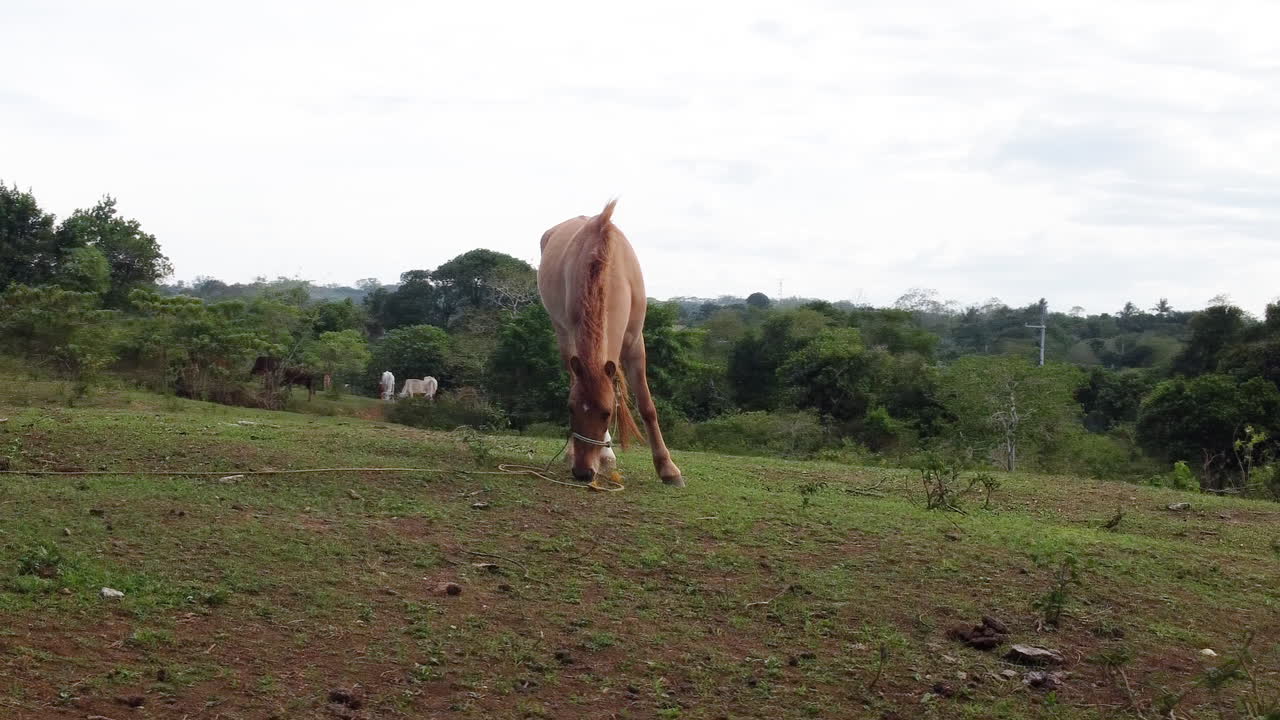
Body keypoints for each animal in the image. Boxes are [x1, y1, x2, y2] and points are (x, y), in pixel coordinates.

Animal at [537, 199, 683, 486]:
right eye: (570, 410)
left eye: (607, 413)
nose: (583, 472)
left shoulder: (635, 342)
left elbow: (647, 406)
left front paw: (668, 469)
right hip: (562, 333)